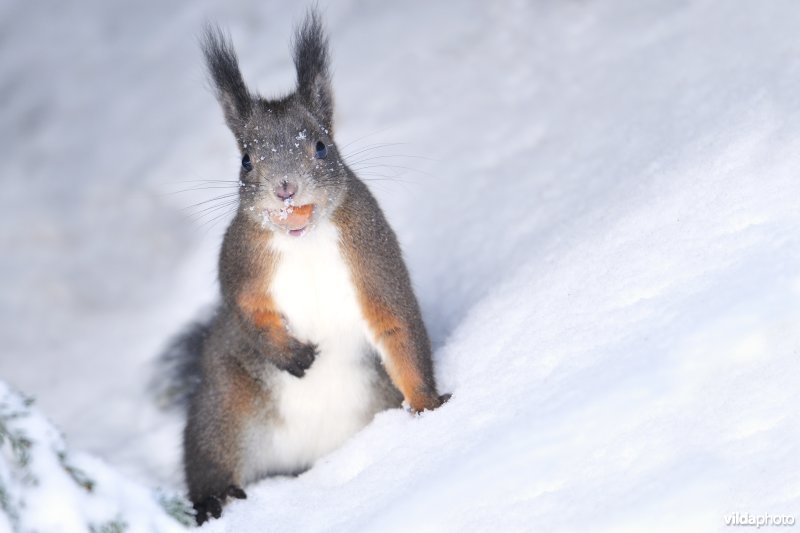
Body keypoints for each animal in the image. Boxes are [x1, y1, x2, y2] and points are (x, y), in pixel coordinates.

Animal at [168, 9, 450, 524]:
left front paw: (428, 406)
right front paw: (292, 355)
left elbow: (396, 324)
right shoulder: (240, 262)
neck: (304, 239)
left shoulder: (373, 255)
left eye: (321, 146)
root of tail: (309, 458)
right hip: (223, 409)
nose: (285, 189)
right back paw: (215, 500)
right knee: (210, 457)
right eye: (245, 160)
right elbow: (245, 310)